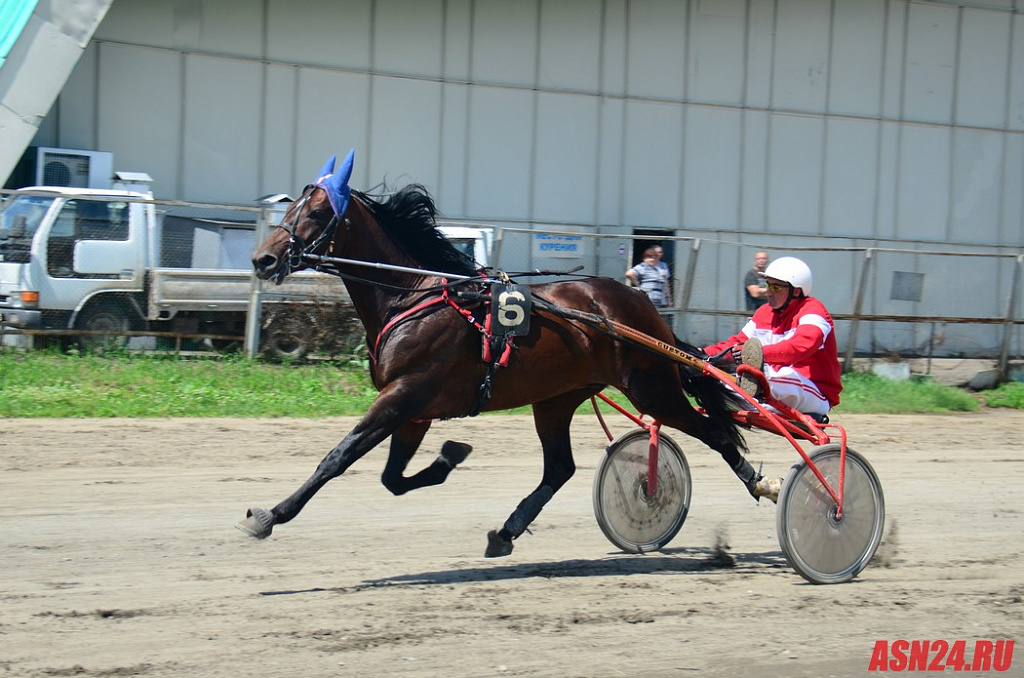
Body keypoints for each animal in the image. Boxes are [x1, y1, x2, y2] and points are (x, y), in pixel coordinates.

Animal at [237, 152, 770, 557]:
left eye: (315, 212)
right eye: (290, 207)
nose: (262, 259)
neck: (411, 295)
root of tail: (645, 309)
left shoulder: (403, 395)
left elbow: (338, 457)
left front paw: (269, 515)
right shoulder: (413, 410)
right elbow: (393, 478)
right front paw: (449, 456)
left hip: (652, 387)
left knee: (716, 432)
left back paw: (757, 482)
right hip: (556, 397)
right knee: (560, 468)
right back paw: (507, 530)